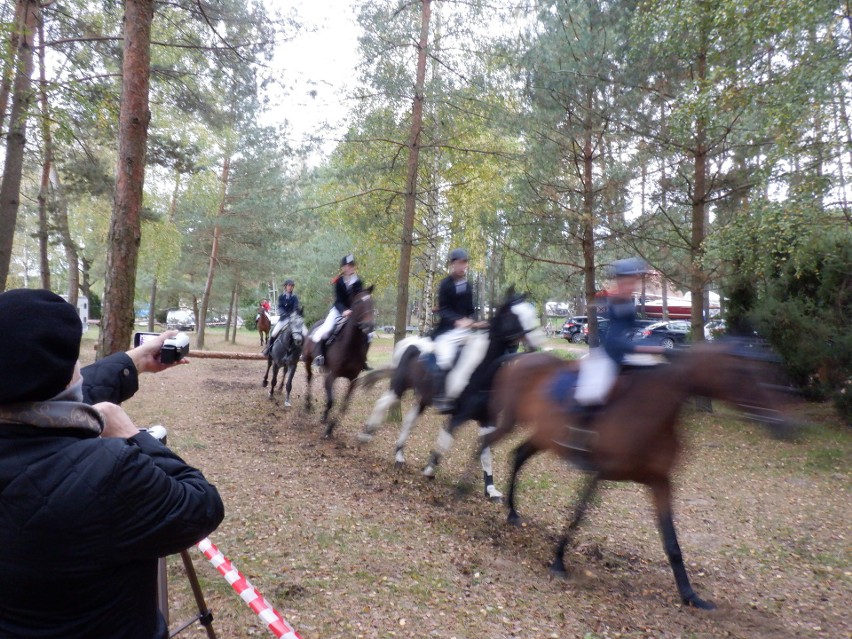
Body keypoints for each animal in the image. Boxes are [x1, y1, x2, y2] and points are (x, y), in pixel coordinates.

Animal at [302, 288, 376, 436]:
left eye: (372, 302)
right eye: (358, 302)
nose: (369, 326)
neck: (351, 346)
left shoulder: (353, 380)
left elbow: (344, 405)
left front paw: (331, 427)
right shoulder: (332, 375)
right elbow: (331, 400)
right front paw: (325, 420)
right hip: (308, 360)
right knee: (309, 377)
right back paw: (308, 404)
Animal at [354, 290, 544, 500]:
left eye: (530, 313)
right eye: (514, 316)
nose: (535, 344)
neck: (482, 370)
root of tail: (409, 343)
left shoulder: (487, 419)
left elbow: (486, 452)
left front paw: (490, 488)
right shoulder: (459, 415)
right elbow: (445, 441)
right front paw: (429, 468)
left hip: (423, 398)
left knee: (409, 421)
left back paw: (399, 455)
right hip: (399, 386)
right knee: (383, 403)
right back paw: (366, 435)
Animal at [476, 342, 796, 612]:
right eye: (745, 374)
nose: (786, 424)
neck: (651, 409)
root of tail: (522, 358)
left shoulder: (660, 482)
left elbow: (672, 543)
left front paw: (690, 595)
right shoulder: (599, 473)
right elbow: (578, 515)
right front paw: (558, 561)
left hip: (543, 437)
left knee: (517, 455)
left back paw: (512, 511)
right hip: (511, 421)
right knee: (483, 444)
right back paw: (471, 490)